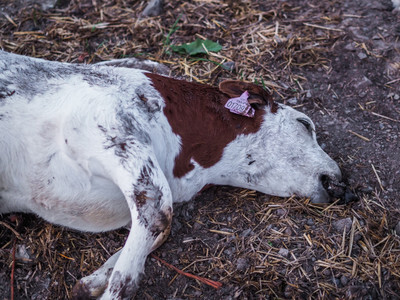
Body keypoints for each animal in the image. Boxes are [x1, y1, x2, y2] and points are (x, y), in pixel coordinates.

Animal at [0, 50, 344, 298]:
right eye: (305, 125)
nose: (345, 186)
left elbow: (152, 232)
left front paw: (94, 280)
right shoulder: (114, 134)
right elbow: (156, 220)